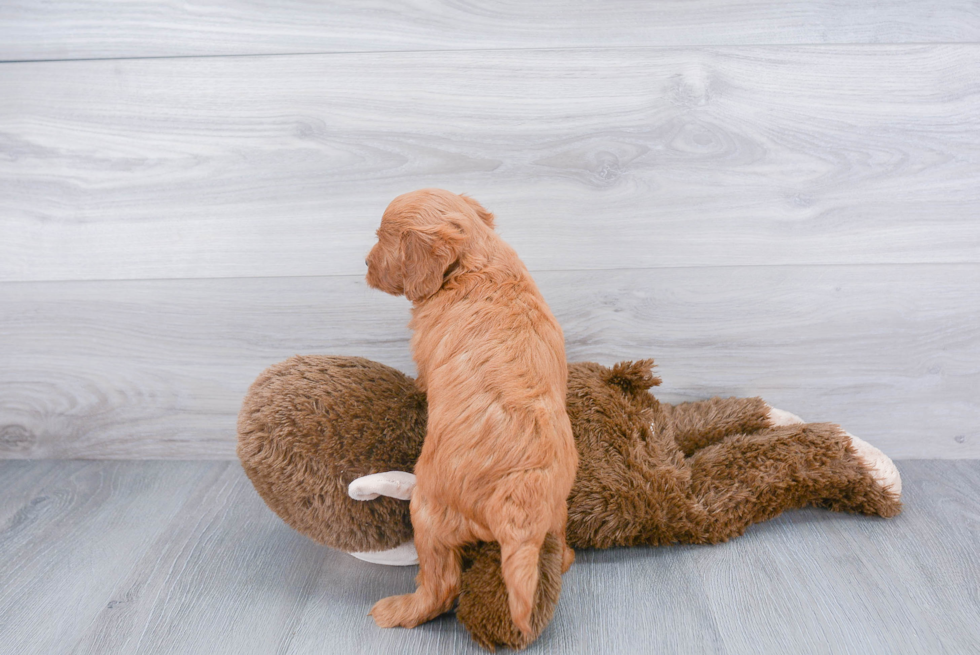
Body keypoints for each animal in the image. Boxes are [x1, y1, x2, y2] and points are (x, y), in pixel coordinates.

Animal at [364, 188, 580, 636]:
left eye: (382, 239)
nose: (365, 265)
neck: (477, 262)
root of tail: (519, 503)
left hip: (427, 512)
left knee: (441, 585)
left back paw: (399, 610)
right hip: (557, 510)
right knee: (562, 551)